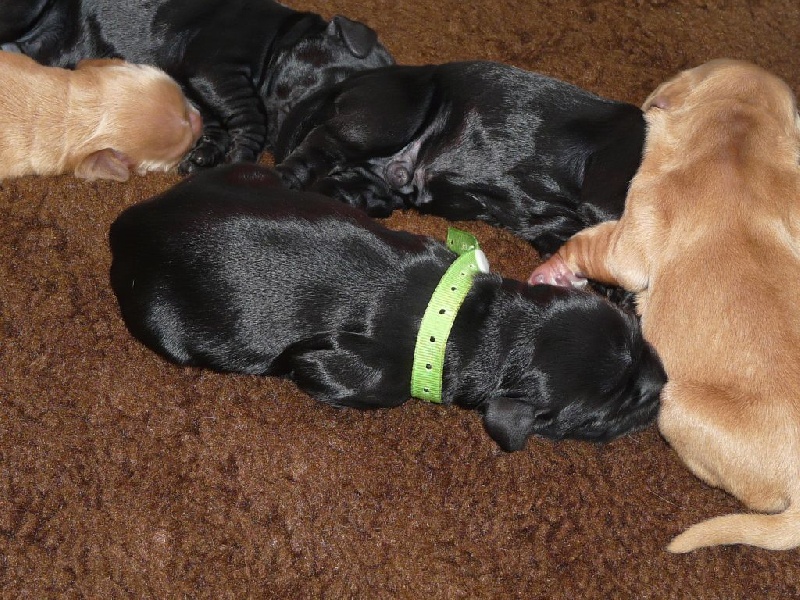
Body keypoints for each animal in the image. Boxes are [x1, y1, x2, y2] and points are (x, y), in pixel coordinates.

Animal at [109, 163, 666, 452]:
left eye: (636, 334)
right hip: (165, 325)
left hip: (246, 174)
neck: (473, 321)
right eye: (603, 412)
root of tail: (127, 224)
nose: (662, 381)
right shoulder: (342, 369)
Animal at [273, 60, 645, 260]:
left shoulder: (554, 228)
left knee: (331, 182)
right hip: (381, 120)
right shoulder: (606, 194)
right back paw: (283, 180)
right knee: (320, 143)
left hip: (372, 188)